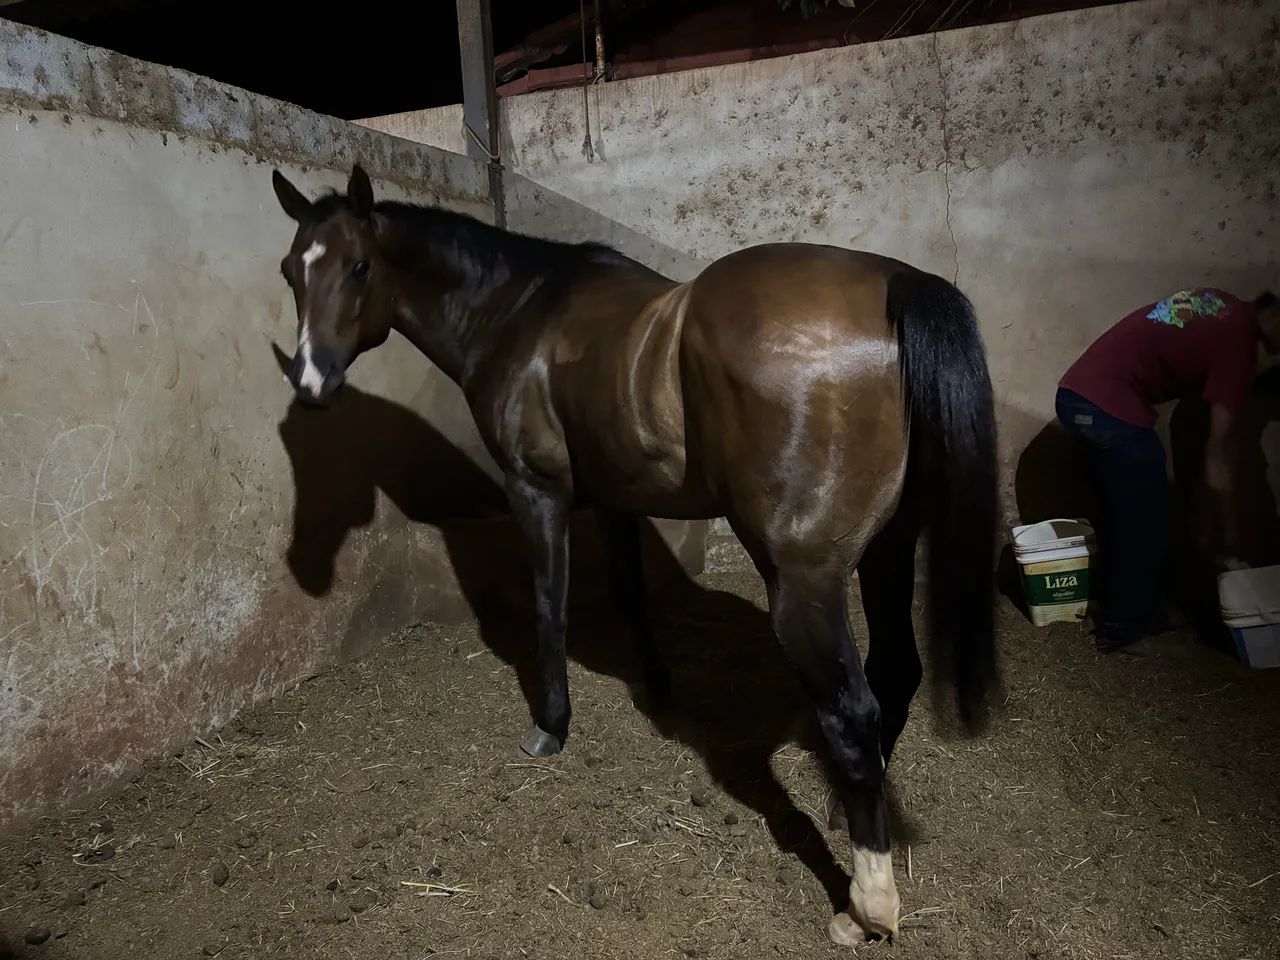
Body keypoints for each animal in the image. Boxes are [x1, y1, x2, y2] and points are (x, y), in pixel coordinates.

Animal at [269, 165, 999, 945]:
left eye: (359, 266)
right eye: (291, 270)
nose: (311, 382)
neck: (518, 312)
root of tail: (897, 283)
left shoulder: (538, 492)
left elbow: (550, 606)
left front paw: (551, 726)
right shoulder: (615, 499)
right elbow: (628, 592)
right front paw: (656, 687)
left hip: (807, 580)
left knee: (854, 714)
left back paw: (866, 908)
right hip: (886, 551)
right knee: (897, 669)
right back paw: (844, 815)